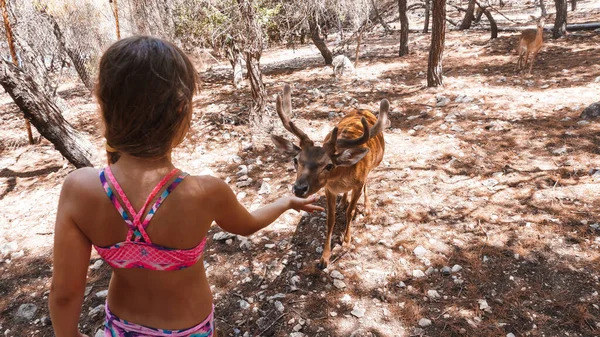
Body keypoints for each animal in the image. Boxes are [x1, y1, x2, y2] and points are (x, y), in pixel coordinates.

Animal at [272, 84, 390, 268]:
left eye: (328, 165)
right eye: (296, 160)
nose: (299, 188)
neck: (341, 177)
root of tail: (362, 110)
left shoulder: (358, 183)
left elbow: (350, 212)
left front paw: (346, 242)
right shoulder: (329, 189)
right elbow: (330, 219)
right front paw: (324, 258)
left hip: (376, 163)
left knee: (367, 183)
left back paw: (367, 208)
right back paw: (343, 201)